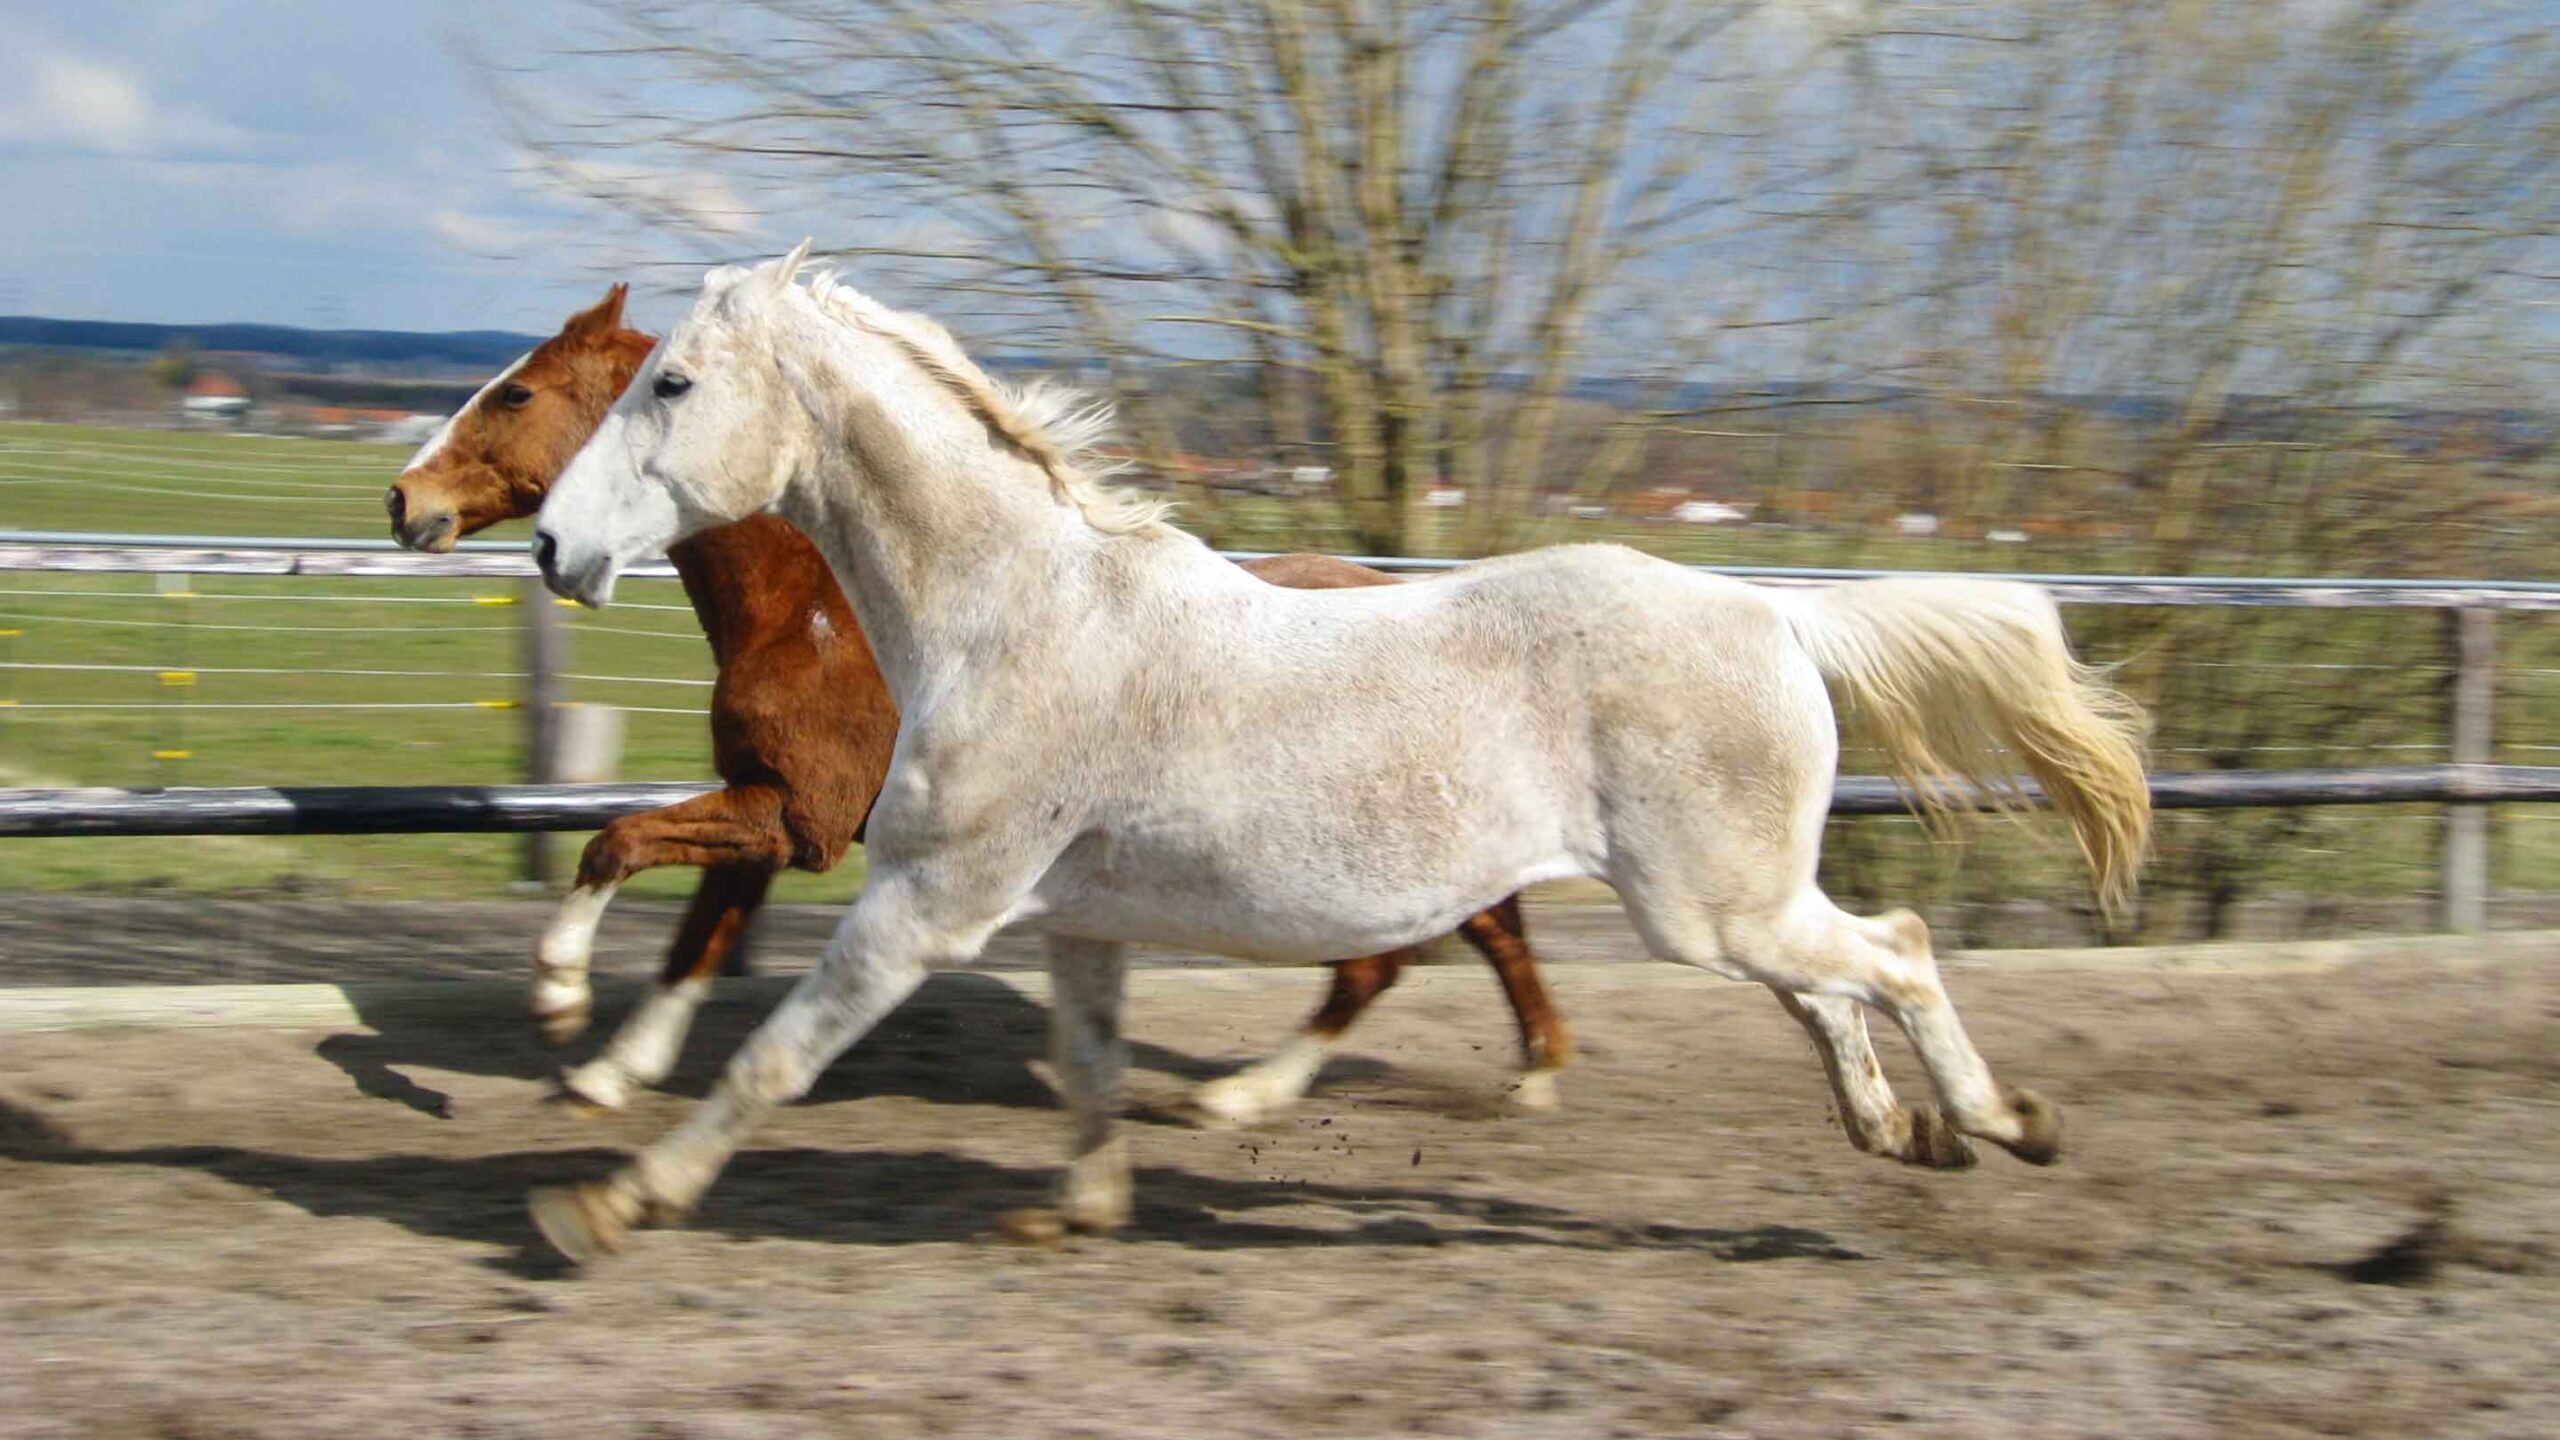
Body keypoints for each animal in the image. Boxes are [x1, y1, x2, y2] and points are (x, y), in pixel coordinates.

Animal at [386, 285, 1572, 1120]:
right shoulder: (766, 805)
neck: (819, 611)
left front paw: (559, 1001)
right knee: (1475, 931)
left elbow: (616, 843)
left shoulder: (798, 818)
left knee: (1390, 957)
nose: (405, 502)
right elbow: (698, 940)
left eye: (515, 392)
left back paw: (1252, 1095)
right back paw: (1529, 1071)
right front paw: (612, 1071)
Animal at [520, 247, 2151, 1263]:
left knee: (1898, 951)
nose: (548, 548)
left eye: (669, 385)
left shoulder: (927, 902)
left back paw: (2000, 1122)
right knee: (1833, 986)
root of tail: (1777, 614)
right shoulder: (1073, 920)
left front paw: (607, 1202)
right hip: (1726, 903)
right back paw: (1904, 1134)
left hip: (1709, 905)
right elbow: (1089, 1069)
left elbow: (776, 1060)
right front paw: (1078, 1212)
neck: (1015, 616)